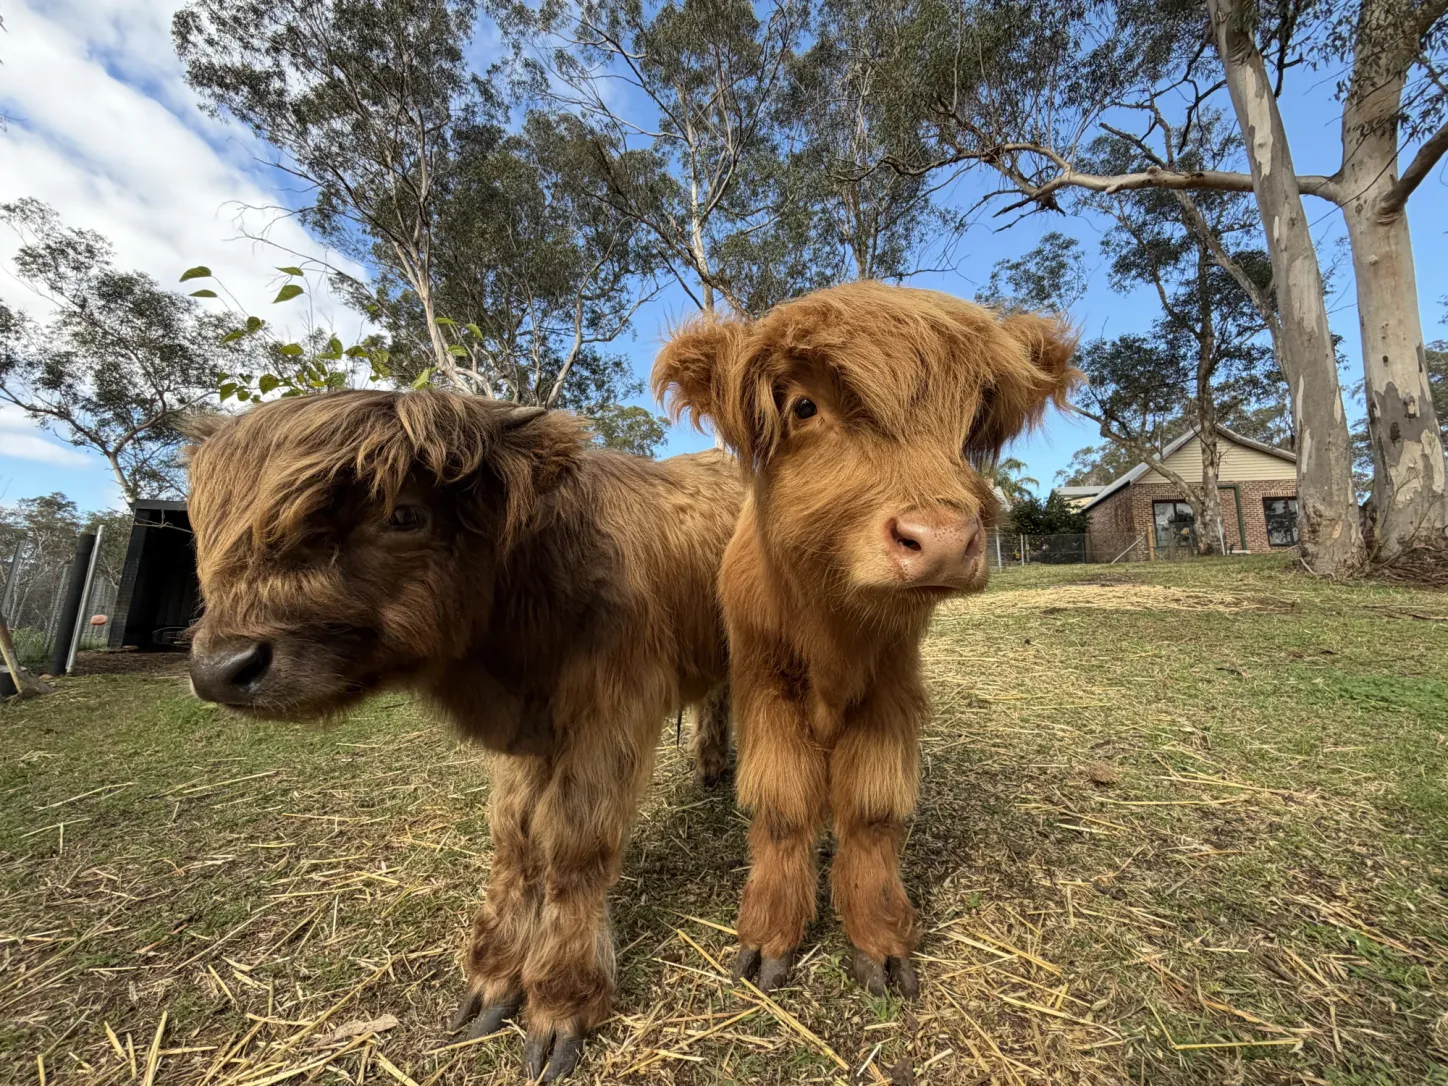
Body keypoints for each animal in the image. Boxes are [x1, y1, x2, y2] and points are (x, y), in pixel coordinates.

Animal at [183, 390, 741, 1080]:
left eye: (403, 514)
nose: (221, 667)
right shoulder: (530, 742)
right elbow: (517, 838)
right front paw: (494, 977)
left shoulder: (609, 720)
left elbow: (573, 849)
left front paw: (561, 999)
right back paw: (710, 765)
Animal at [653, 281, 1077, 997]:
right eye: (803, 406)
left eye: (972, 417)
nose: (940, 540)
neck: (833, 628)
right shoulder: (766, 679)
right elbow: (783, 804)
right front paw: (770, 935)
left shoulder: (890, 687)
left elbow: (873, 809)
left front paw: (878, 940)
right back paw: (710, 763)